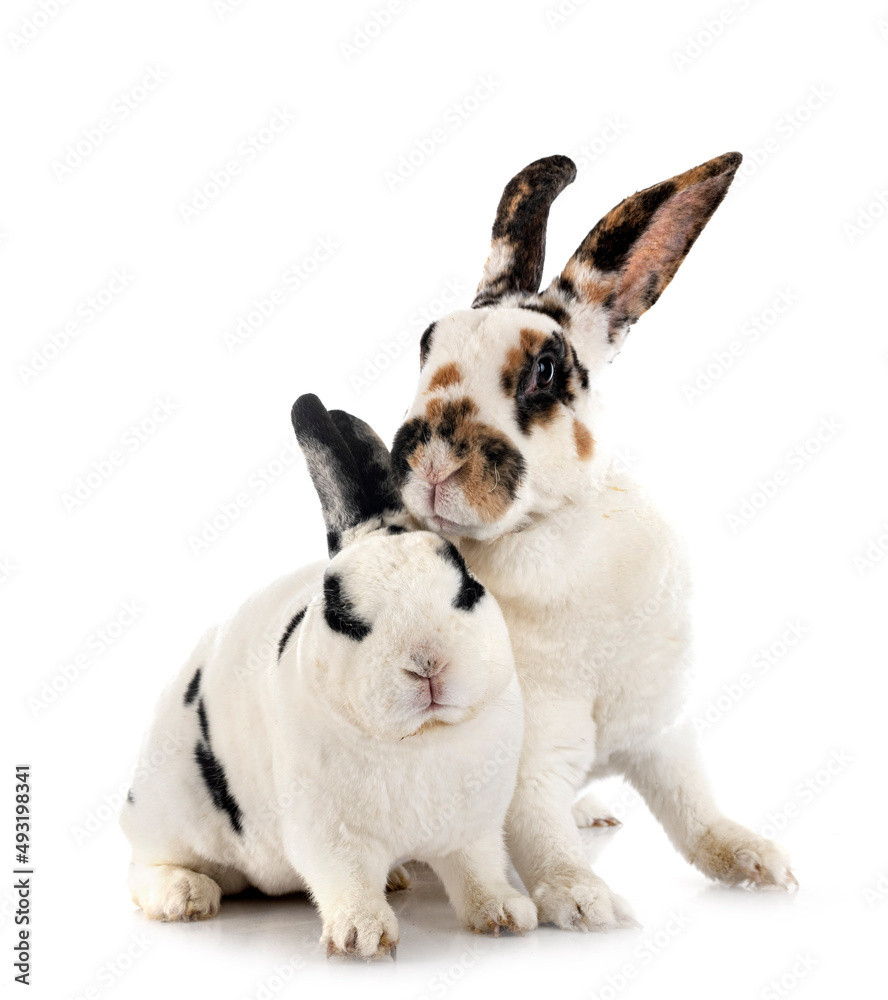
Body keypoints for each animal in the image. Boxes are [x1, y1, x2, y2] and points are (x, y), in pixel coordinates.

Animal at [120, 393, 536, 959]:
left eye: (467, 587)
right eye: (344, 616)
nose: (427, 663)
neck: (420, 738)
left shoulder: (474, 829)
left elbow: (479, 874)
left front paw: (506, 915)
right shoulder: (328, 834)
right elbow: (347, 879)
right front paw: (363, 937)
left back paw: (398, 878)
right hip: (166, 809)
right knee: (143, 866)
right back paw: (185, 897)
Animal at [390, 152, 797, 932]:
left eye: (545, 371)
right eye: (425, 345)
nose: (429, 460)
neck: (554, 532)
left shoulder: (664, 730)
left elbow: (693, 811)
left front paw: (760, 862)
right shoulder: (530, 759)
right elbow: (538, 831)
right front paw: (584, 900)